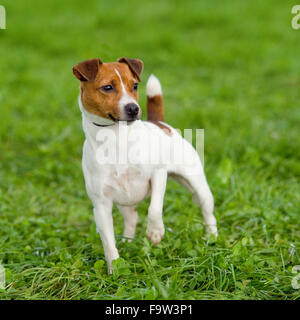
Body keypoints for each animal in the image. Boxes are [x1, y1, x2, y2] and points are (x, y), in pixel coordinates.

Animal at [72, 57, 218, 272]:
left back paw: (212, 237)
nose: (133, 108)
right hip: (124, 201)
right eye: (107, 87)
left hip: (198, 186)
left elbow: (154, 209)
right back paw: (127, 242)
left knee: (208, 211)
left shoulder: (158, 175)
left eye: (134, 86)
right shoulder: (101, 205)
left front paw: (155, 232)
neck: (117, 138)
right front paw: (115, 268)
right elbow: (108, 241)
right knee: (131, 219)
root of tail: (160, 123)